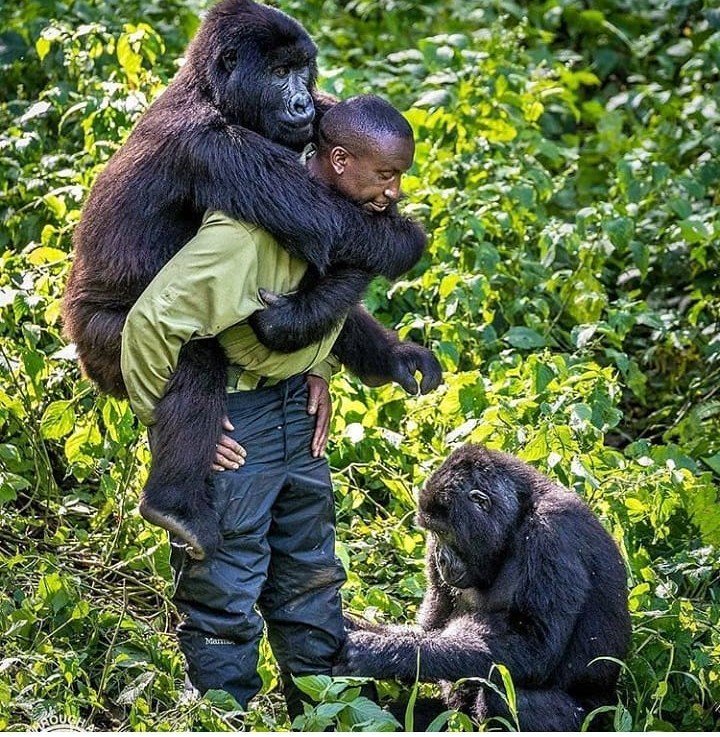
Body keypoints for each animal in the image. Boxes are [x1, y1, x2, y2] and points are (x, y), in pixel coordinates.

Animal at [334, 442, 628, 732]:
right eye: (433, 533)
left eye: (443, 532)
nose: (440, 558)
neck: (517, 517)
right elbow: (429, 629)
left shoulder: (552, 534)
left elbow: (534, 647)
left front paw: (376, 651)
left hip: (595, 721)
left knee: (505, 696)